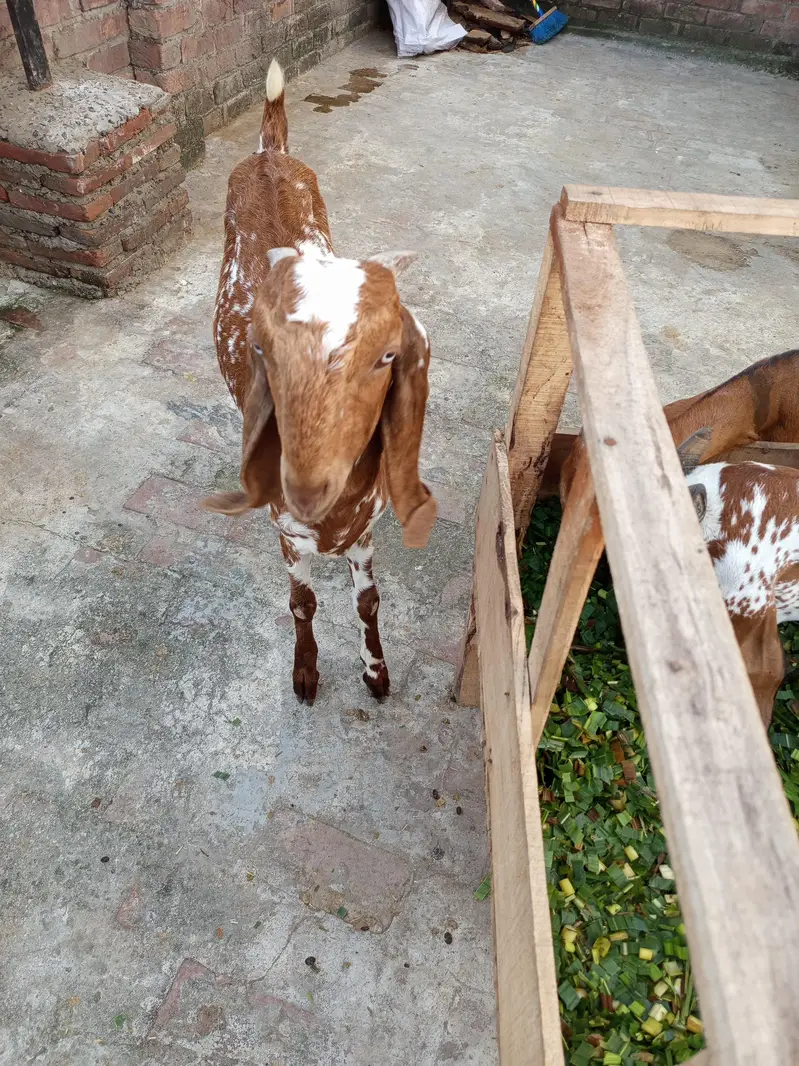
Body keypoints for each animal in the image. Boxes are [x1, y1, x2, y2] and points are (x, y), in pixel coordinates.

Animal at [203, 60, 436, 705]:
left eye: (387, 353)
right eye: (269, 350)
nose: (309, 482)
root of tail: (269, 154)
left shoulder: (367, 533)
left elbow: (369, 601)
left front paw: (376, 673)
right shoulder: (288, 536)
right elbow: (302, 603)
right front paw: (305, 674)